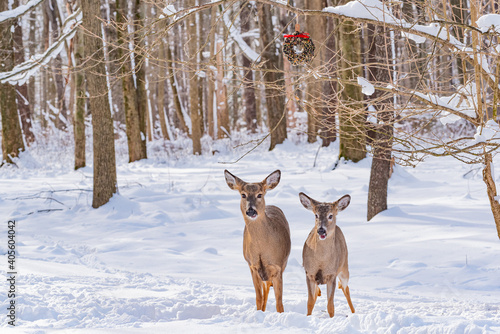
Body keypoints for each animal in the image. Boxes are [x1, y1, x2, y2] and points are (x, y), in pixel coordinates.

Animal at [225, 170, 292, 314]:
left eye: (259, 194)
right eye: (243, 194)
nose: (251, 210)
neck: (261, 248)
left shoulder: (277, 266)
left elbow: (279, 301)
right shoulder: (252, 265)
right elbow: (258, 297)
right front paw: (259, 312)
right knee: (264, 290)